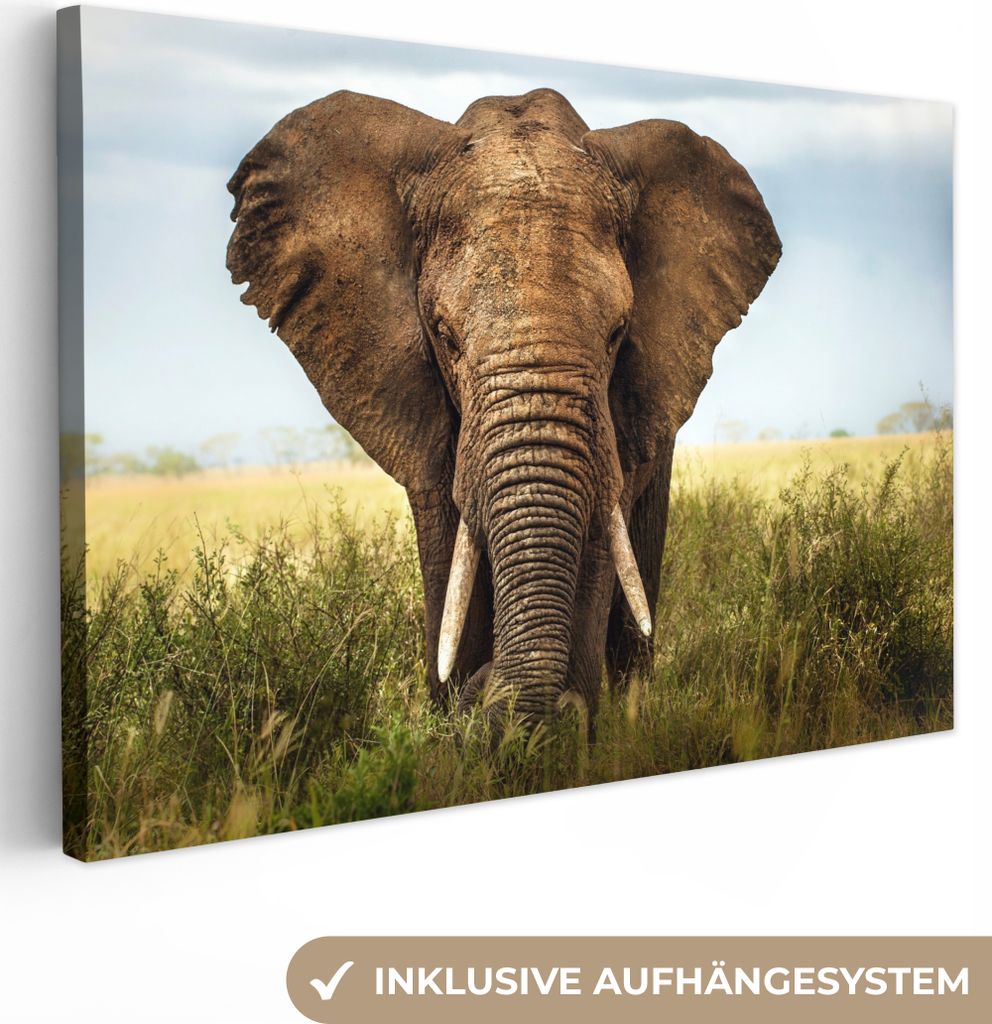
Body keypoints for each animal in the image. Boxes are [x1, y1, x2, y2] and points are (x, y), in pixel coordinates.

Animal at [227, 87, 780, 733]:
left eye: (618, 334)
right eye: (444, 336)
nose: (485, 694)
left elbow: (599, 545)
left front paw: (563, 727)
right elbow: (448, 556)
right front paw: (457, 715)